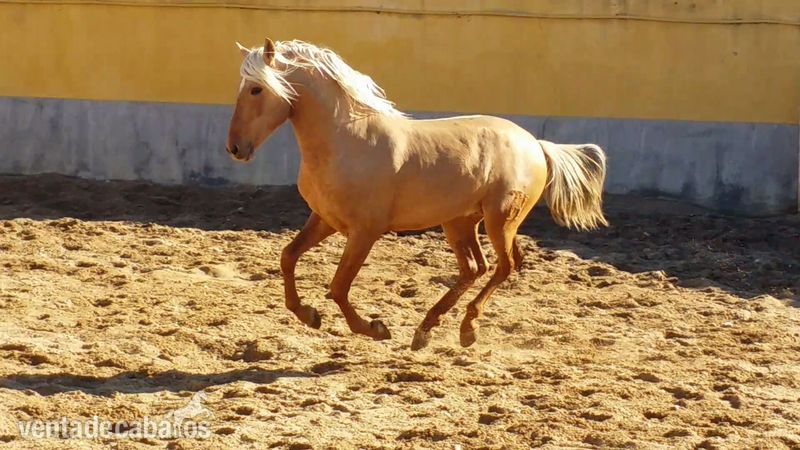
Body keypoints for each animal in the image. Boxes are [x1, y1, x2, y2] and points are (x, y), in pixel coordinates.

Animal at [226, 39, 608, 350]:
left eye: (256, 90)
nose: (235, 148)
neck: (347, 141)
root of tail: (536, 144)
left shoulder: (365, 232)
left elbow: (338, 286)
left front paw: (376, 329)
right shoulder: (325, 220)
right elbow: (288, 257)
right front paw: (308, 315)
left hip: (500, 220)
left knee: (504, 266)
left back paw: (466, 330)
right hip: (459, 223)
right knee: (475, 268)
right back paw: (426, 330)